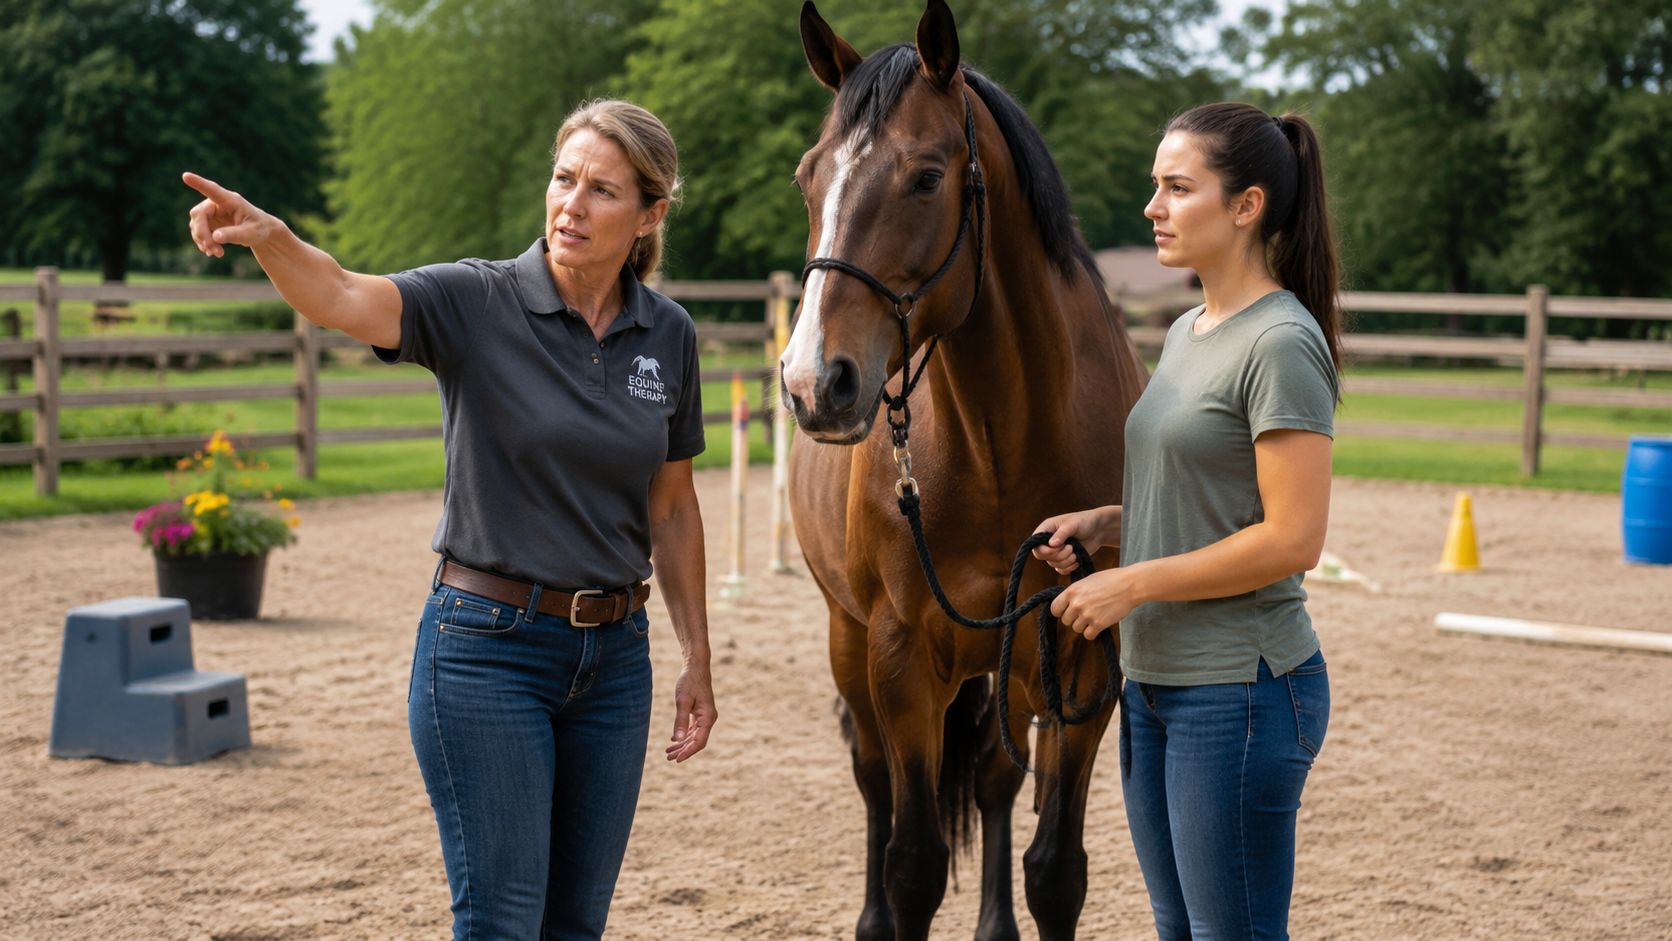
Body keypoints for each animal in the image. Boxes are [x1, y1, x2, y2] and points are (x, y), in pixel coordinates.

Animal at [779, 2, 1149, 938]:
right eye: (808, 178)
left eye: (924, 178)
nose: (813, 382)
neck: (999, 444)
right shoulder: (901, 658)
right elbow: (913, 863)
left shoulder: (1079, 653)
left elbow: (1055, 870)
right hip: (850, 640)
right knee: (874, 779)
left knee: (992, 774)